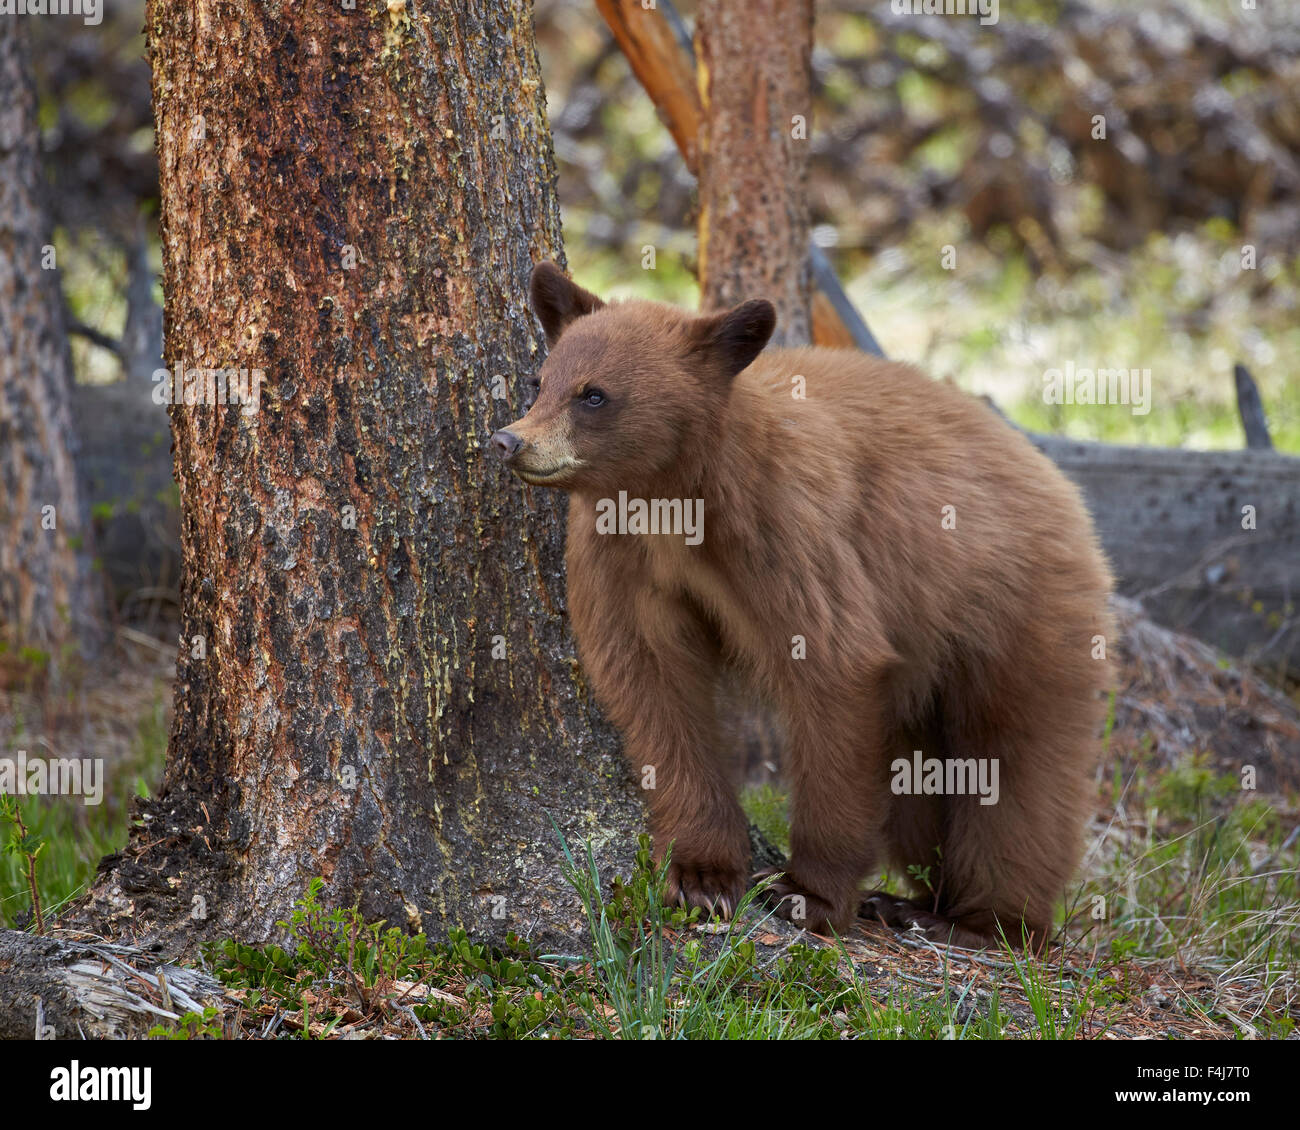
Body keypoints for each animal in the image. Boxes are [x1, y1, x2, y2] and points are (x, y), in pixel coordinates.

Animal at [491, 261, 1114, 949]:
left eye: (594, 395)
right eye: (540, 382)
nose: (509, 440)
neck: (673, 499)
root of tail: (1057, 483)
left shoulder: (786, 527)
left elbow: (833, 667)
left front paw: (806, 893)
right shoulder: (622, 553)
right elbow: (651, 680)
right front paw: (703, 874)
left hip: (1017, 610)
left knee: (1015, 766)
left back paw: (982, 922)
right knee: (919, 782)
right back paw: (915, 902)